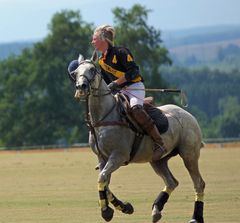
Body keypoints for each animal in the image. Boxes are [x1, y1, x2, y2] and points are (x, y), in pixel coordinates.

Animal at [72, 52, 205, 223]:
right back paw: (156, 210)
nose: (81, 87)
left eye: (92, 70)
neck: (103, 118)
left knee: (199, 183)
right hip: (158, 160)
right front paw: (124, 207)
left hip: (189, 154)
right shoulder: (102, 158)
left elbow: (101, 178)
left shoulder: (118, 155)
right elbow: (104, 182)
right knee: (172, 182)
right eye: (75, 73)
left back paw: (195, 217)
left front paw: (106, 212)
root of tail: (189, 115)